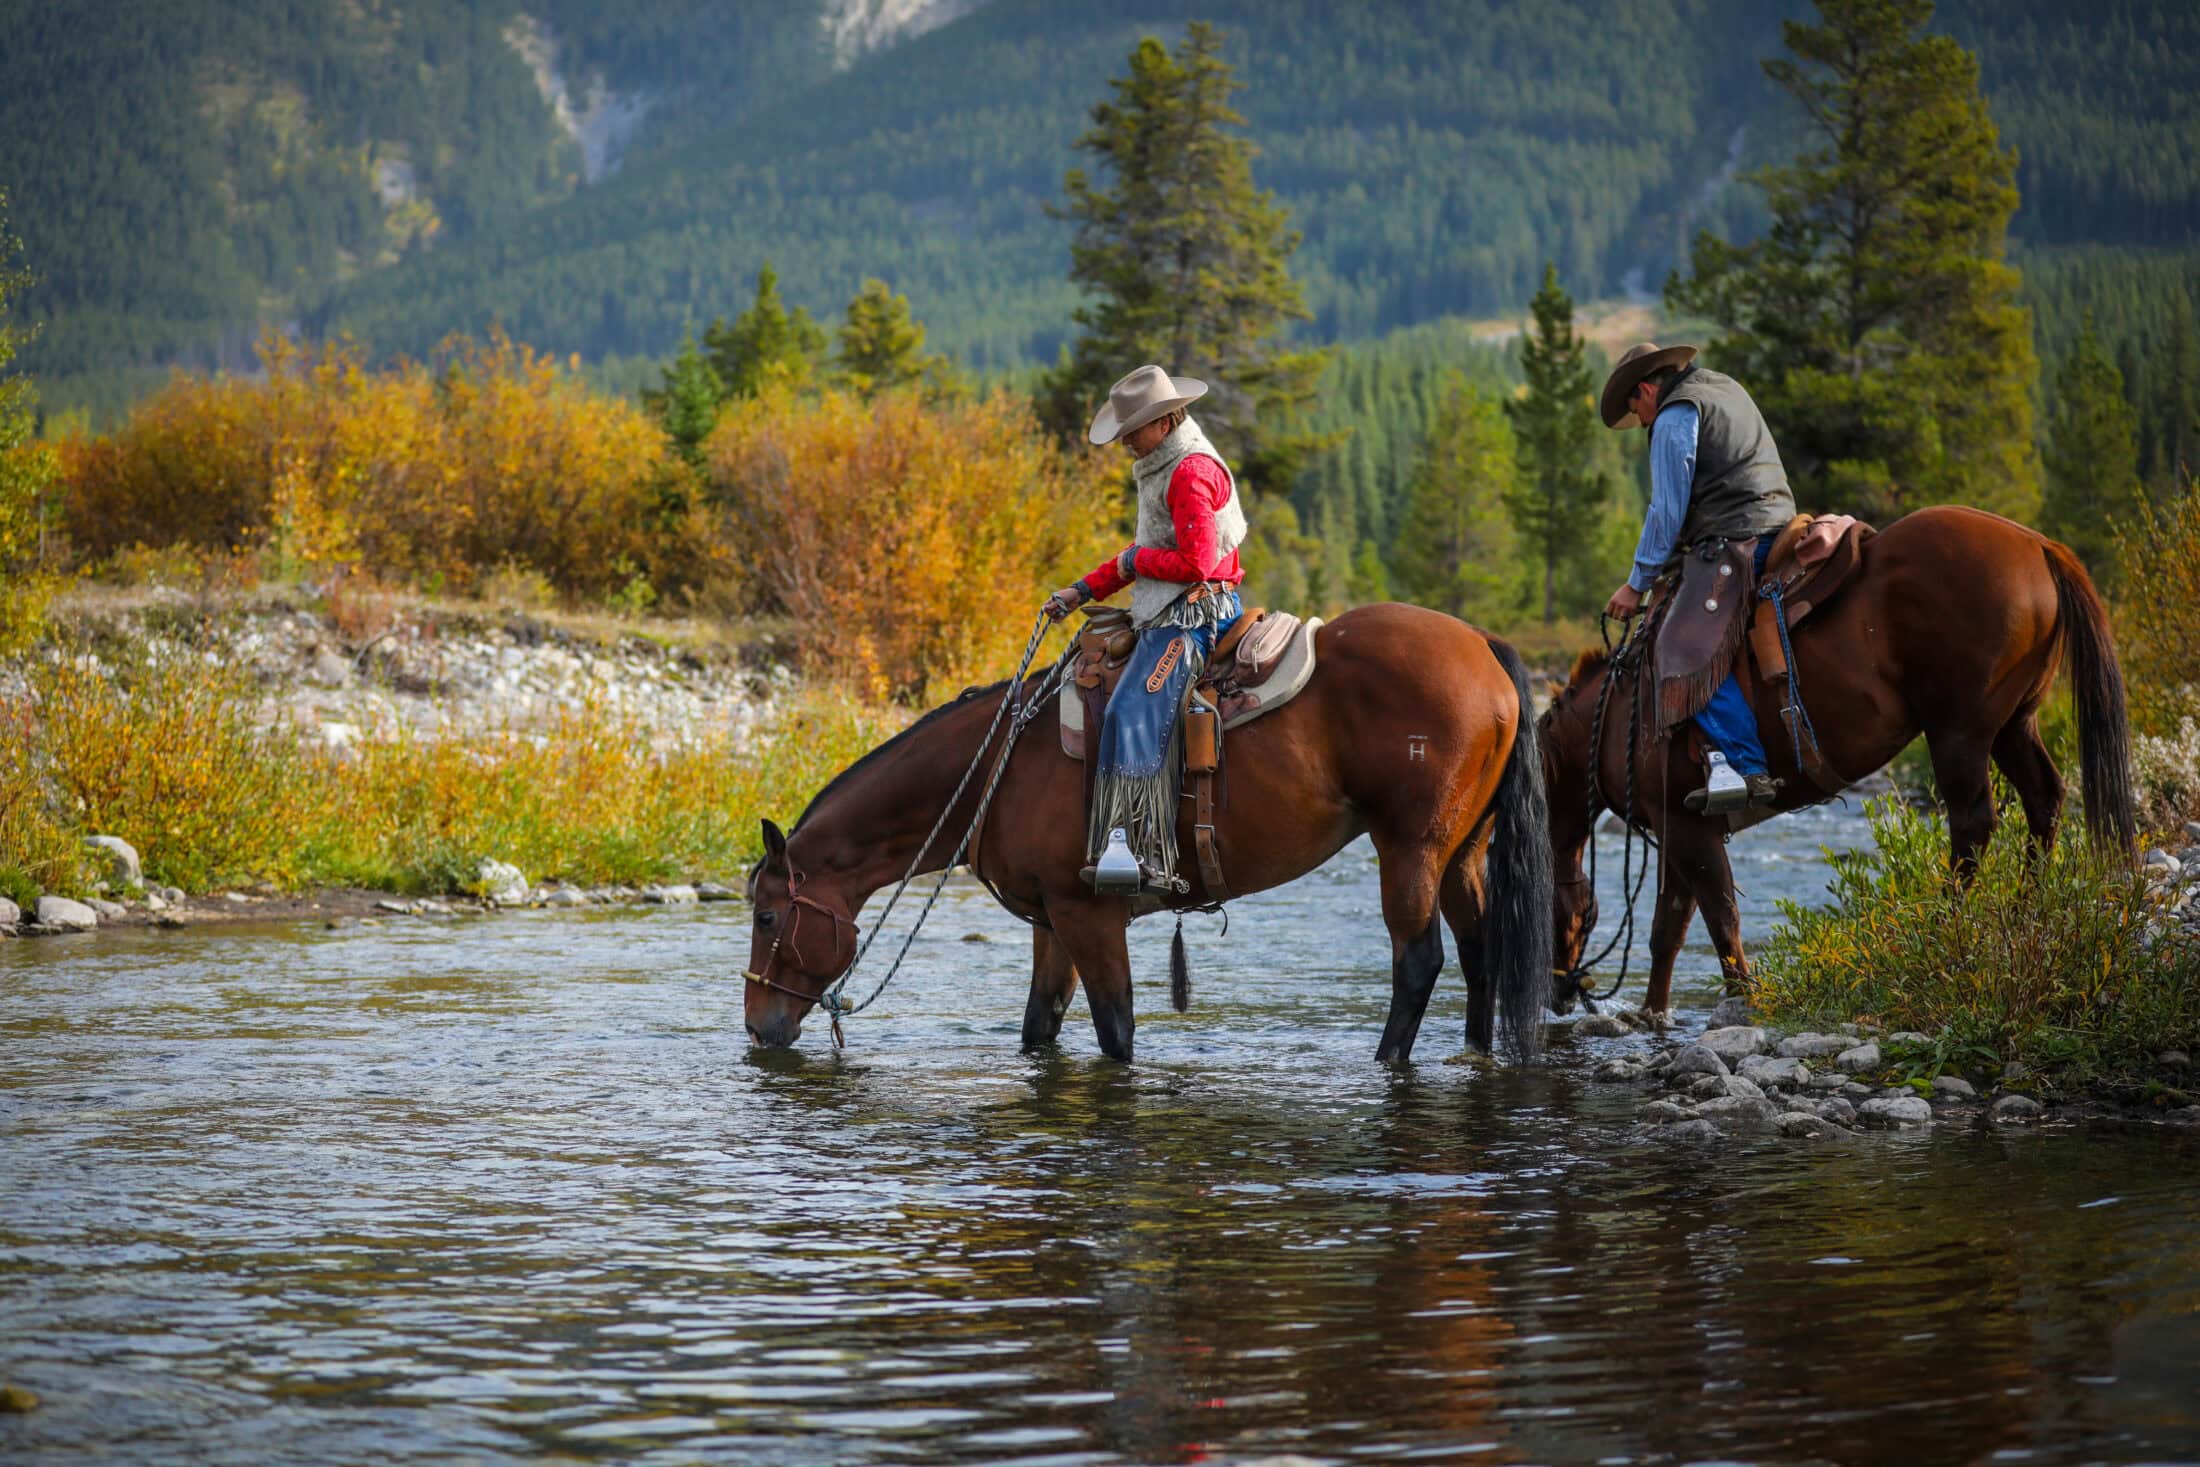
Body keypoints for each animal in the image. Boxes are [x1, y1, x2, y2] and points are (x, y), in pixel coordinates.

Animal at [739, 602, 1548, 1060]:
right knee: (1479, 953)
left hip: (1409, 849)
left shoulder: (1090, 914)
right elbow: (1040, 1025)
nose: (757, 1026)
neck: (1000, 766)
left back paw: (1386, 1062)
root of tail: (1483, 644)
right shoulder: (1053, 919)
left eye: (768, 916)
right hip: (1461, 852)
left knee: (1418, 962)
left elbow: (1115, 1029)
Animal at [1531, 505, 2129, 1020]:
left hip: (1958, 732)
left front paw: (1743, 1000)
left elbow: (1719, 915)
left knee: (1973, 823)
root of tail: (2038, 545)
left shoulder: (1686, 828)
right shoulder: (1680, 826)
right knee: (2043, 799)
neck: (1617, 714)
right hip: (2014, 725)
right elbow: (1670, 929)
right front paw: (1653, 1015)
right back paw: (2027, 914)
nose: (1556, 994)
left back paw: (1946, 927)